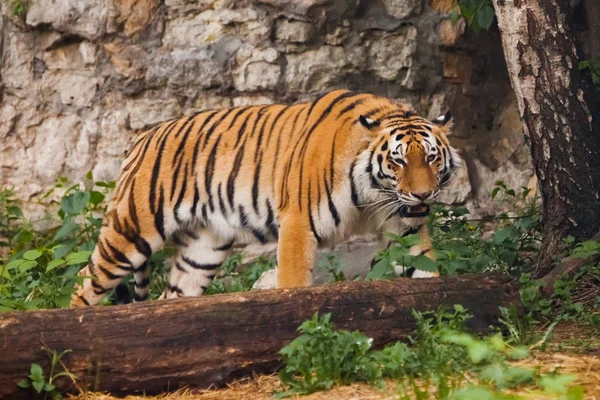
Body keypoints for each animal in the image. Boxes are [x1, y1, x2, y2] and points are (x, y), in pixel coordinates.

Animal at [71, 89, 464, 306]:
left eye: (431, 157)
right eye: (398, 161)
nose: (422, 194)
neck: (374, 192)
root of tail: (143, 136)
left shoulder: (405, 226)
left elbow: (423, 268)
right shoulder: (299, 222)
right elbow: (293, 282)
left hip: (203, 249)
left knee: (173, 298)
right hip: (131, 232)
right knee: (84, 284)